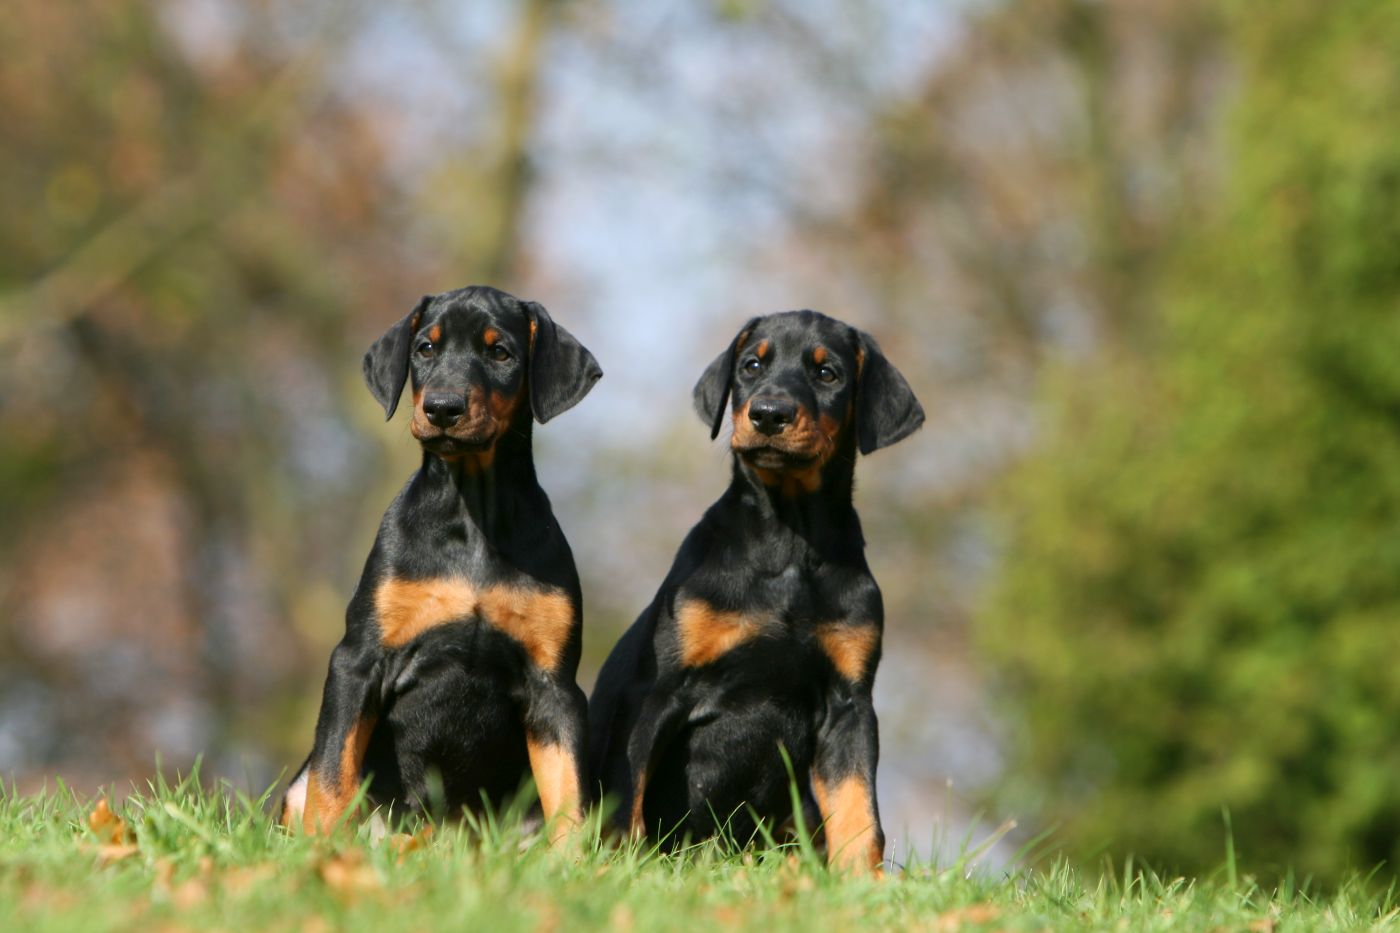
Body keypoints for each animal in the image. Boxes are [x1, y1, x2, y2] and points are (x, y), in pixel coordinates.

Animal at [282, 281, 602, 834]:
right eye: (425, 349)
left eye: (501, 353)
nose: (443, 408)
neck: (470, 511)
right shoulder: (358, 660)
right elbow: (332, 774)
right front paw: (321, 846)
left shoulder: (555, 685)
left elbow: (570, 797)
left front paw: (572, 856)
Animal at [585, 308, 924, 868]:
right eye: (751, 365)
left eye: (827, 373)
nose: (768, 414)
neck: (787, 543)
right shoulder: (655, 690)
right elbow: (625, 795)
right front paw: (618, 867)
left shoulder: (849, 705)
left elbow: (859, 812)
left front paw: (862, 881)